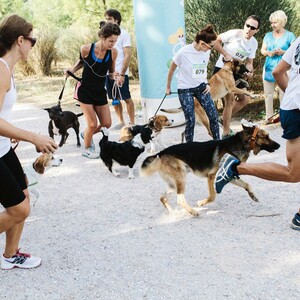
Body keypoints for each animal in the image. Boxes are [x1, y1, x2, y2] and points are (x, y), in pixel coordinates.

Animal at [140, 120, 278, 217]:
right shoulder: (211, 176)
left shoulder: (230, 176)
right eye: (266, 136)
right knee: (180, 200)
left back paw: (174, 212)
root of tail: (161, 153)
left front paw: (252, 195)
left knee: (163, 198)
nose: (279, 145)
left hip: (173, 184)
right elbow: (212, 196)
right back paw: (193, 212)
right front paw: (201, 203)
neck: (239, 144)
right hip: (181, 179)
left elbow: (247, 184)